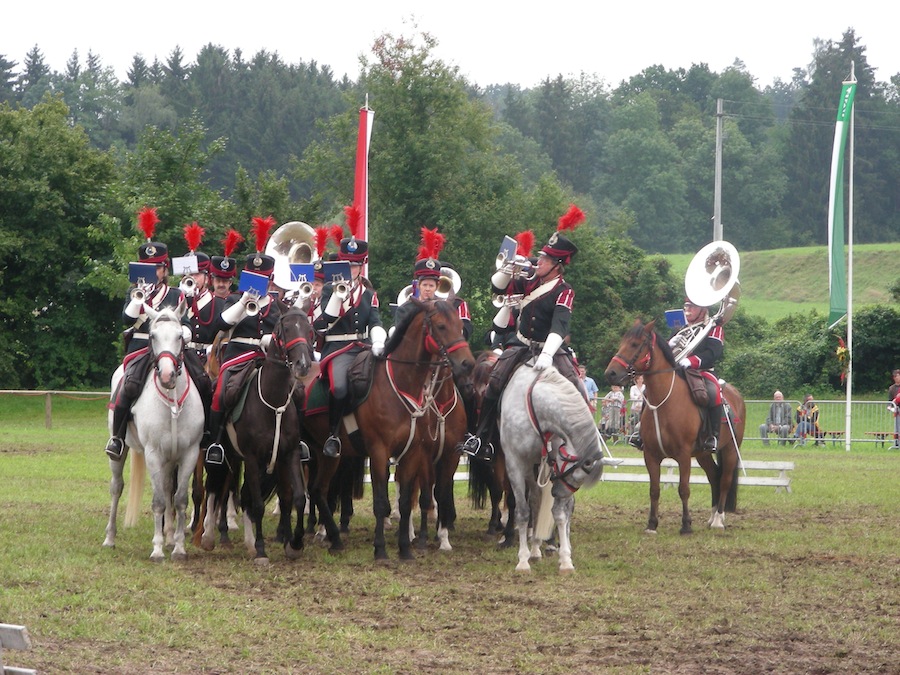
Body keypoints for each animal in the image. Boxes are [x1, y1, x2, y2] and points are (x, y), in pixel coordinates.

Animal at [103, 304, 205, 564]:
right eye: (152, 336)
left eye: (179, 336)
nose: (167, 376)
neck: (172, 401)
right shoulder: (153, 454)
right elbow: (158, 501)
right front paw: (157, 550)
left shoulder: (189, 454)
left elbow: (179, 499)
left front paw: (178, 548)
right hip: (120, 452)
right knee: (116, 487)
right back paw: (110, 538)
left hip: (171, 459)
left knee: (169, 487)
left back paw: (169, 537)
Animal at [300, 300, 474, 560]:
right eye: (441, 326)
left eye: (461, 327)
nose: (467, 364)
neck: (402, 383)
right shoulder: (379, 452)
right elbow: (381, 501)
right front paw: (380, 549)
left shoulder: (413, 452)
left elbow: (406, 502)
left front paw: (405, 549)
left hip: (326, 453)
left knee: (318, 490)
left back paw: (335, 539)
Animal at [500, 362, 604, 572]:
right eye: (575, 474)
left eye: (579, 480)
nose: (557, 492)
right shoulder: (515, 463)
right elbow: (523, 512)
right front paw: (522, 560)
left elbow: (559, 513)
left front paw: (565, 560)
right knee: (534, 503)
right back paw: (533, 550)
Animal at [604, 320, 744, 536]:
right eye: (622, 342)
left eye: (635, 344)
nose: (610, 373)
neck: (664, 401)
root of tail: (735, 394)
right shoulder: (651, 455)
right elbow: (654, 490)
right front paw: (652, 524)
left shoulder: (683, 455)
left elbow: (683, 489)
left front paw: (686, 525)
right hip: (703, 453)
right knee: (714, 476)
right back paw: (712, 516)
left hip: (730, 449)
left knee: (725, 480)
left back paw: (718, 520)